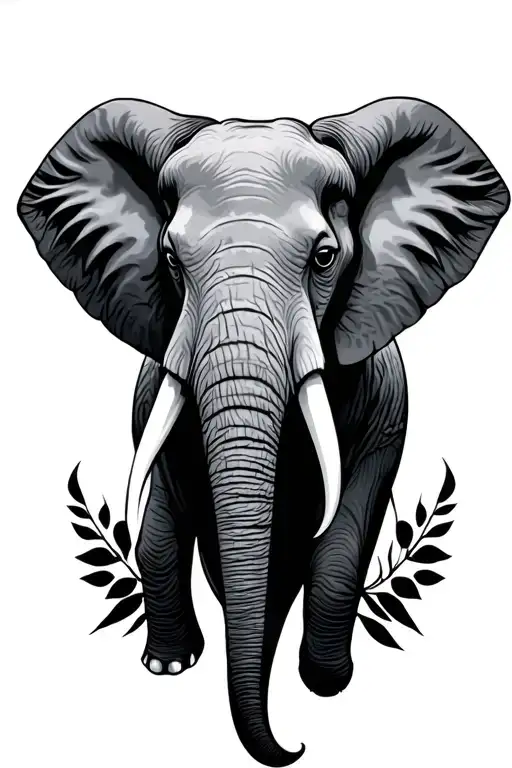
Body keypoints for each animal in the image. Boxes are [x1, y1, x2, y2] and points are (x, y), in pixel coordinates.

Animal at [18, 97, 508, 767]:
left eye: (324, 258)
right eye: (169, 259)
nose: (294, 745)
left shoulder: (386, 402)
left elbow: (346, 529)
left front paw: (325, 684)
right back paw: (174, 661)